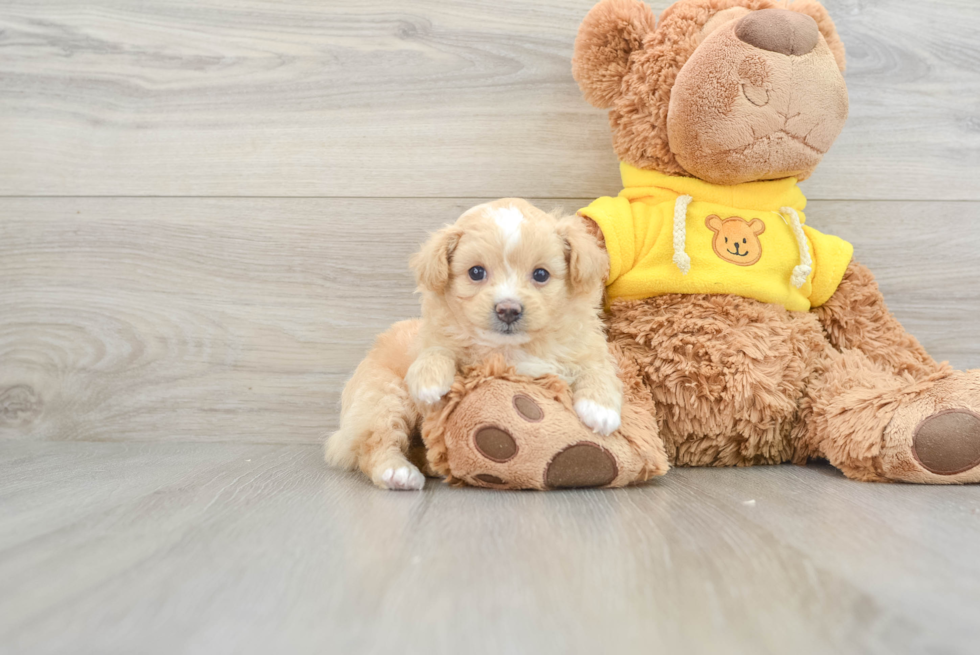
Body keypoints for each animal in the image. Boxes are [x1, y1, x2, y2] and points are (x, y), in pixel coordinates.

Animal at [326, 197, 624, 490]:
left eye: (541, 275)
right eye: (476, 272)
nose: (508, 310)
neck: (510, 349)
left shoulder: (585, 346)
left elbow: (597, 368)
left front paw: (601, 410)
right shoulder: (434, 340)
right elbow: (437, 349)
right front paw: (429, 380)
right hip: (383, 396)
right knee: (375, 442)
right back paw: (397, 472)